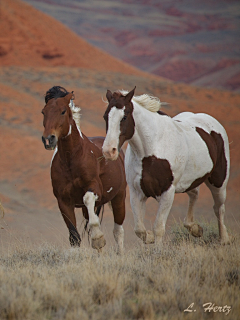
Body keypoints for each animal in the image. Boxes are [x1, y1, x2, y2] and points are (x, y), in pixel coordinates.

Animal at [41, 86, 127, 251]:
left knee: (118, 231)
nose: (48, 139)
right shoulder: (64, 201)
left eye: (63, 111)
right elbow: (74, 236)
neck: (71, 160)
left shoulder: (94, 189)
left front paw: (98, 238)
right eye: (43, 112)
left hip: (119, 197)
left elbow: (89, 203)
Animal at [102, 87, 231, 245]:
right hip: (192, 180)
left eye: (124, 117)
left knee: (219, 208)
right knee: (194, 194)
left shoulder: (167, 193)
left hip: (219, 181)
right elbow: (139, 230)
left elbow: (158, 228)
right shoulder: (136, 192)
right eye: (105, 117)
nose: (109, 151)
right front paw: (149, 238)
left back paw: (224, 239)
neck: (151, 151)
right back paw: (195, 228)